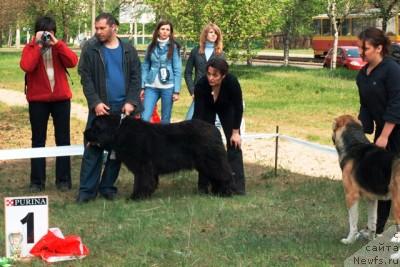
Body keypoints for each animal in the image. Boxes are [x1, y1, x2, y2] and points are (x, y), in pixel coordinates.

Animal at [85, 115, 233, 201]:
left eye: (95, 126)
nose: (84, 132)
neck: (118, 131)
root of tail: (215, 130)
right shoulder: (148, 168)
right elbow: (150, 181)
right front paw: (146, 194)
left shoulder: (143, 166)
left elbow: (141, 181)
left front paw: (136, 197)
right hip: (206, 163)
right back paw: (217, 192)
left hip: (212, 161)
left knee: (224, 175)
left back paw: (226, 192)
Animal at [332, 114, 400, 249]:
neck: (355, 144)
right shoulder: (371, 199)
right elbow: (373, 222)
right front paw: (371, 240)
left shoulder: (351, 196)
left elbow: (353, 223)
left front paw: (349, 240)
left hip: (397, 204)